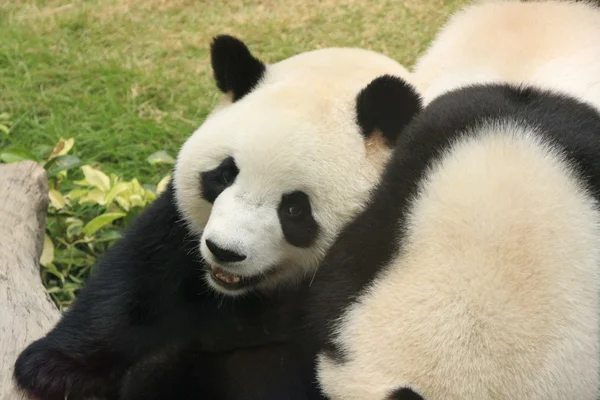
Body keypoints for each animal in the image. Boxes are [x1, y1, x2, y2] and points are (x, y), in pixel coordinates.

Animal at [12, 35, 422, 400]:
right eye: (224, 175)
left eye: (294, 208)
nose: (225, 251)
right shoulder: (178, 227)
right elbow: (138, 277)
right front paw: (53, 369)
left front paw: (166, 376)